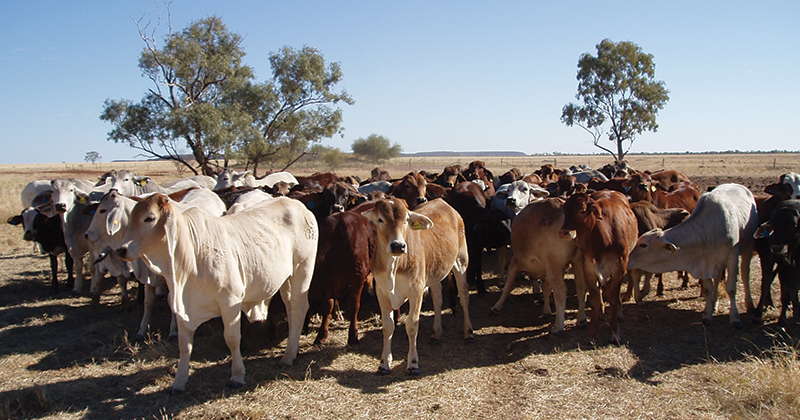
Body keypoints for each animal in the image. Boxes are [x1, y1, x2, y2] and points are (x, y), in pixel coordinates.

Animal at [114, 194, 318, 390]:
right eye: (131, 217)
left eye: (149, 218)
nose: (121, 250)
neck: (190, 256)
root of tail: (299, 205)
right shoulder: (183, 308)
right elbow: (184, 345)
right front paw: (179, 381)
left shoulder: (230, 302)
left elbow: (232, 339)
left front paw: (237, 376)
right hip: (286, 280)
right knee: (291, 309)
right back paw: (293, 348)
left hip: (302, 270)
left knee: (299, 308)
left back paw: (288, 355)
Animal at [364, 199, 476, 376]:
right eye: (380, 219)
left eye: (405, 220)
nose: (398, 245)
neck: (393, 265)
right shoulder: (381, 292)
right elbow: (387, 326)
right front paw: (384, 364)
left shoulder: (416, 291)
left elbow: (412, 325)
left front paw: (413, 363)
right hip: (435, 271)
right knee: (438, 298)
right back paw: (436, 333)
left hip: (461, 260)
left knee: (464, 296)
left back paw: (469, 332)